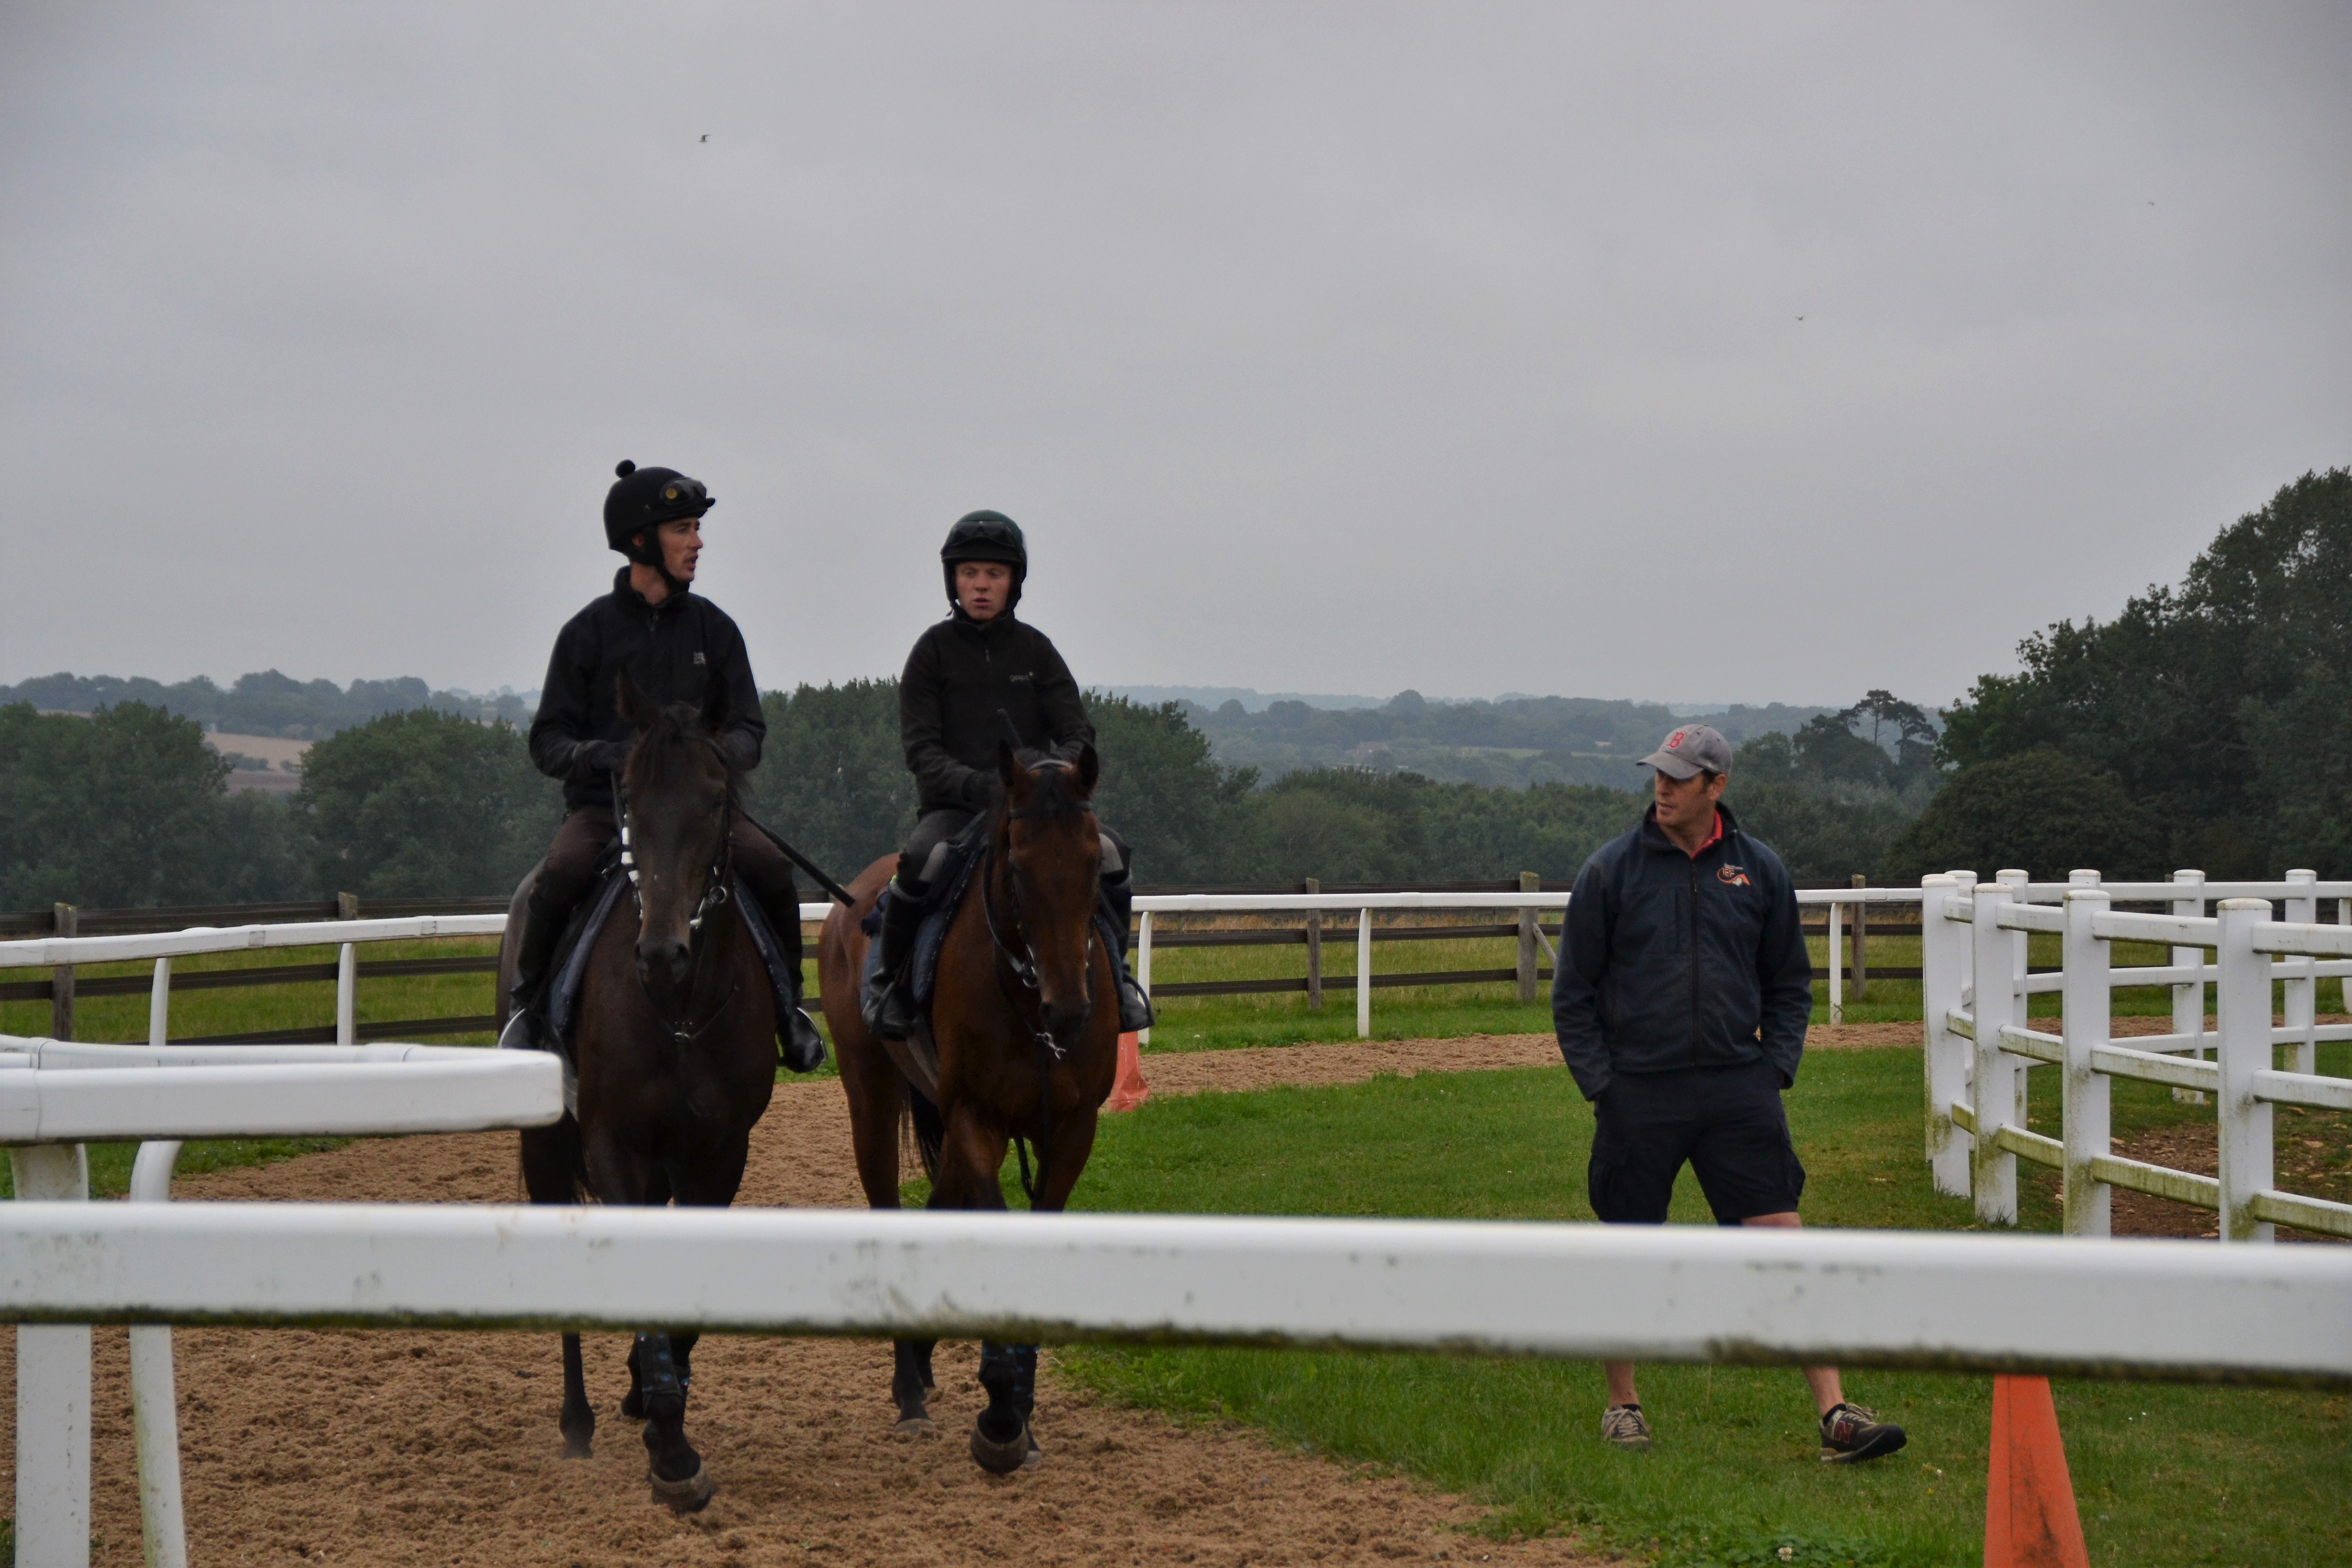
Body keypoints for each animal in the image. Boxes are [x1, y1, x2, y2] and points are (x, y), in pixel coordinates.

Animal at [498, 672, 780, 1504]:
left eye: (715, 800)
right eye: (628, 796)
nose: (661, 952)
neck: (677, 1009)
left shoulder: (718, 1151)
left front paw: (663, 1405)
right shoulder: (612, 1144)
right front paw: (671, 1451)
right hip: (549, 1149)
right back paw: (578, 1420)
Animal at [818, 738, 1119, 1476]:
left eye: (1094, 863)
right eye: (1016, 864)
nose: (1068, 1010)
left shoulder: (1072, 1130)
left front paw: (1021, 1415)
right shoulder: (976, 1118)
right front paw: (1002, 1415)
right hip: (872, 1095)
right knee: (890, 1208)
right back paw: (910, 1391)